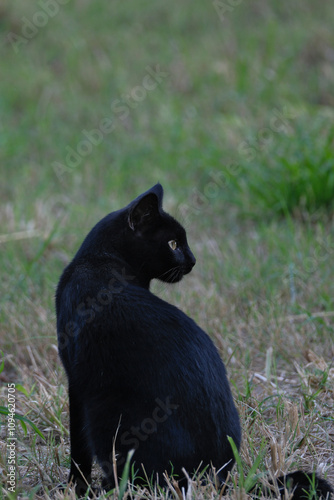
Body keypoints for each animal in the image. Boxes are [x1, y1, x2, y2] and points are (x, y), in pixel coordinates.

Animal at [56, 186, 332, 498]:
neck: (101, 259)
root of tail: (216, 478)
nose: (193, 260)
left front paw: (75, 487)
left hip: (107, 417)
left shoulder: (75, 382)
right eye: (173, 243)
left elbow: (78, 448)